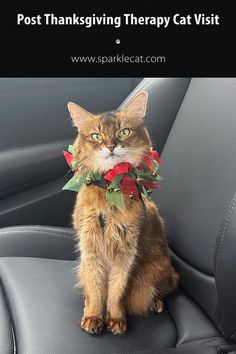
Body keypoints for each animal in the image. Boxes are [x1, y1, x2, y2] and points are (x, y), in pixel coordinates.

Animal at [68, 90, 179, 334]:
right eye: (97, 136)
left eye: (123, 132)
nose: (111, 146)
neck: (111, 190)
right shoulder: (90, 246)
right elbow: (95, 286)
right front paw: (93, 315)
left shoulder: (127, 250)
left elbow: (117, 290)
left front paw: (116, 319)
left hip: (157, 269)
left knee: (166, 287)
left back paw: (157, 303)